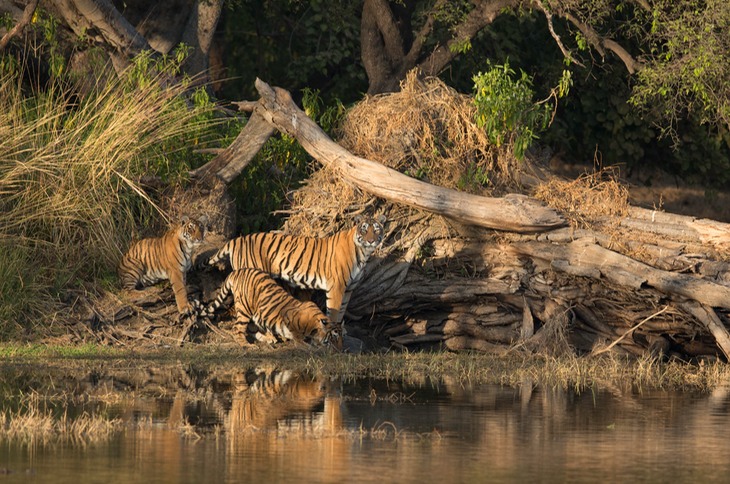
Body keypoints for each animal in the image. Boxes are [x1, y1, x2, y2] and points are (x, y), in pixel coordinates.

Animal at [202, 266, 344, 350]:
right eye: (334, 337)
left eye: (341, 338)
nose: (341, 351)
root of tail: (237, 271)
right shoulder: (291, 323)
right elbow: (305, 344)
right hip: (244, 308)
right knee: (237, 329)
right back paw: (247, 345)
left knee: (251, 328)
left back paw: (269, 338)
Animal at [206, 213, 386, 324]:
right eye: (364, 229)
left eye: (376, 230)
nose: (371, 240)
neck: (363, 253)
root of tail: (236, 240)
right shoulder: (337, 287)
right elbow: (334, 312)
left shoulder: (349, 288)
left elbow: (341, 312)